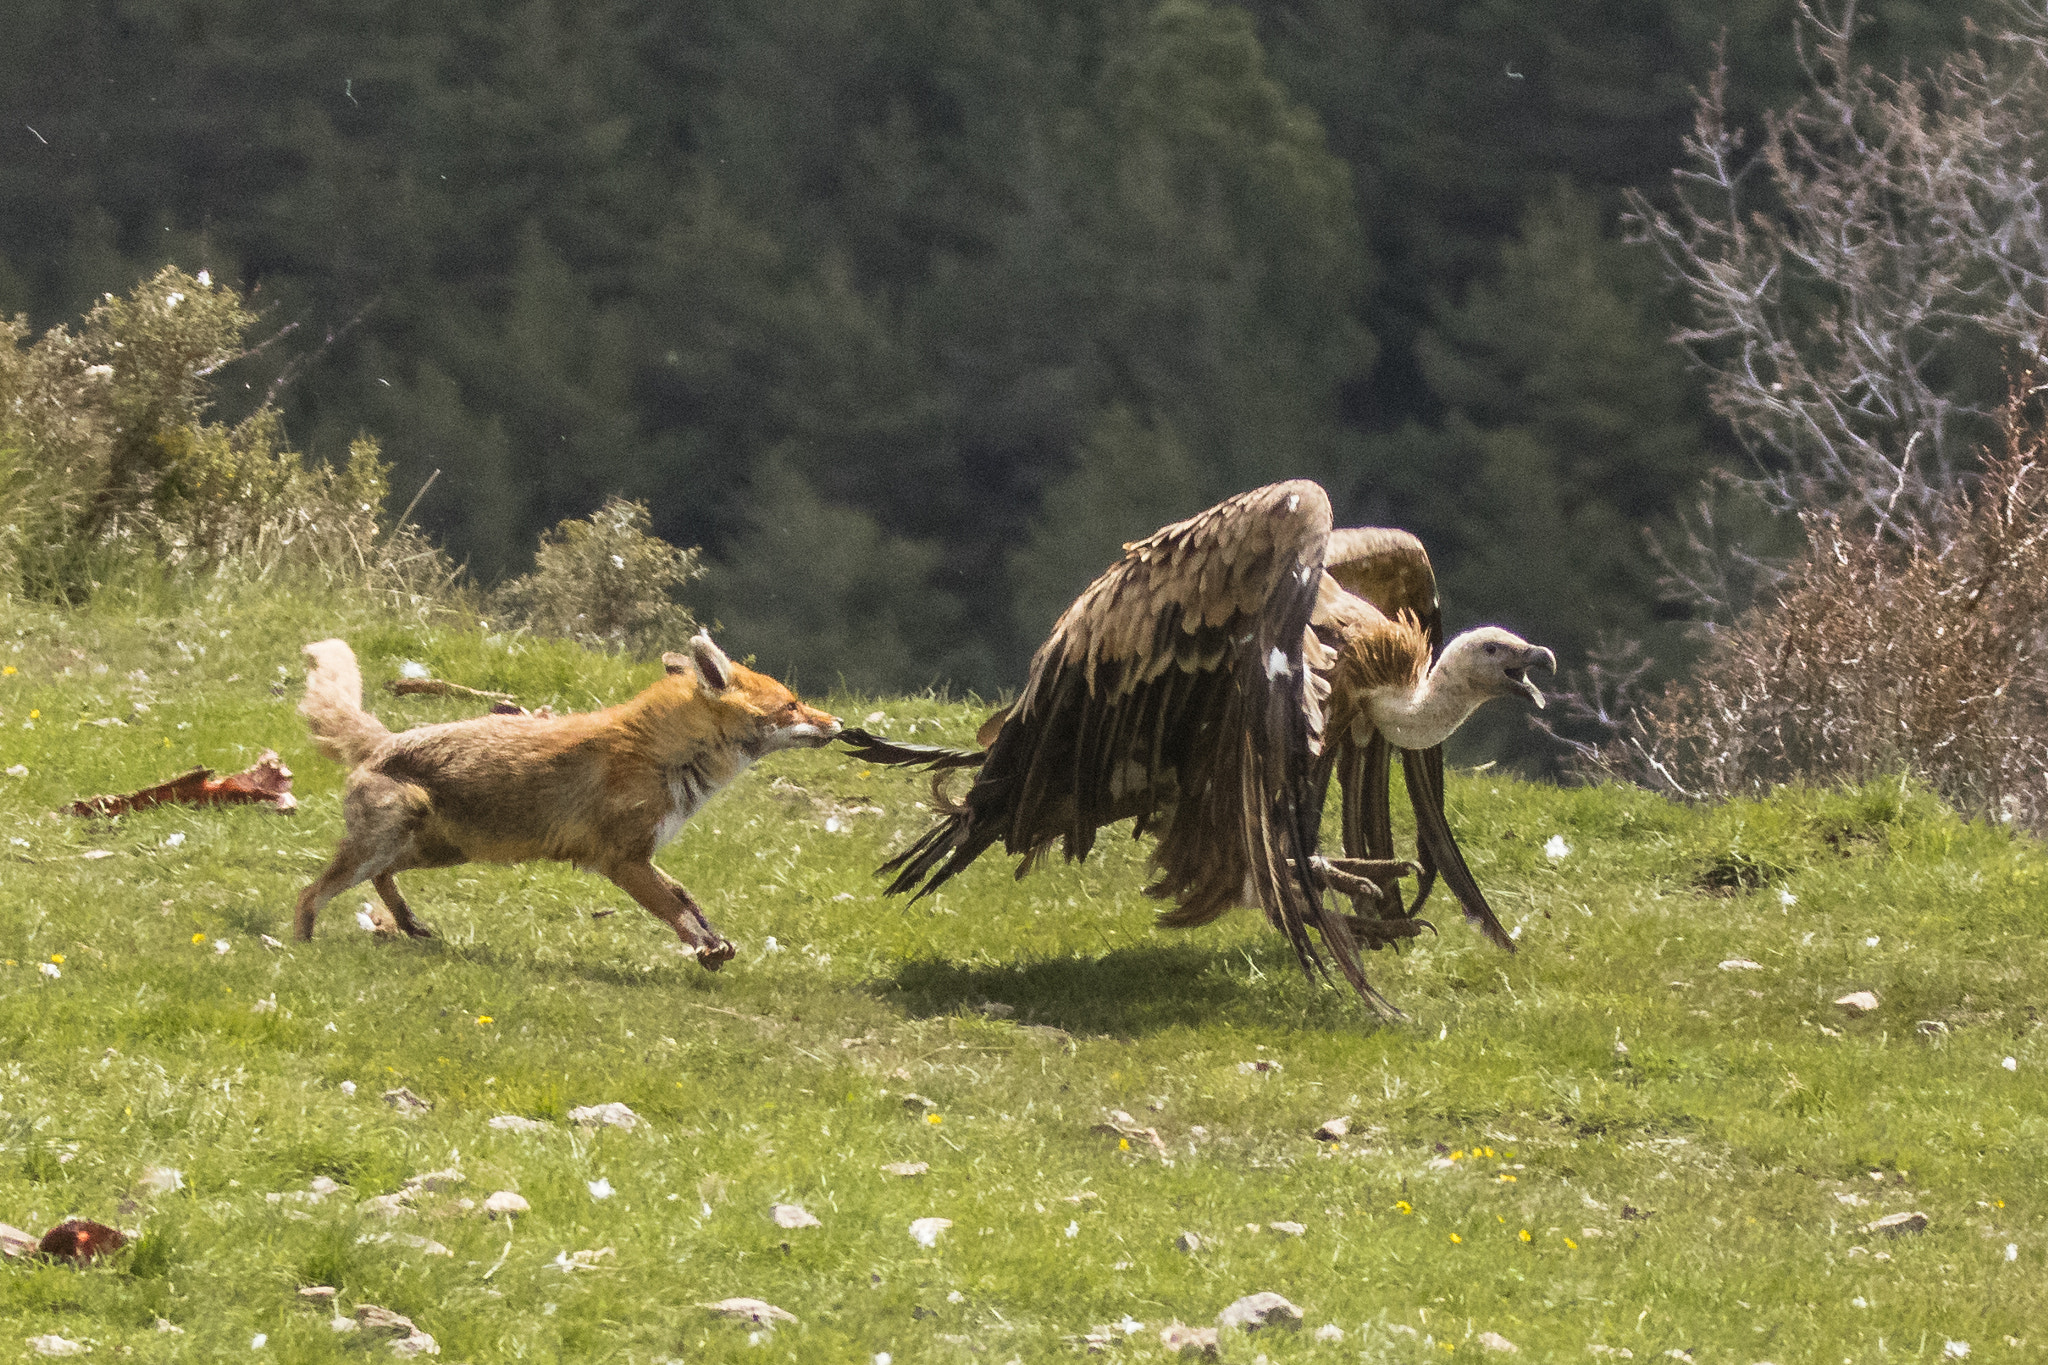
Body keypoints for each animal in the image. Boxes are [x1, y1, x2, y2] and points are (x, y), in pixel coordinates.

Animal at [292, 638, 835, 965]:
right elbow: (673, 910)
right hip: (396, 842)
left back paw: (406, 923)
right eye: (791, 706)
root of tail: (385, 741)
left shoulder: (643, 853)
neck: (661, 757)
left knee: (381, 878)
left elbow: (685, 896)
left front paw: (714, 939)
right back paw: (301, 948)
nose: (840, 724)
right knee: (309, 894)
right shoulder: (621, 860)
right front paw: (704, 949)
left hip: (440, 851)